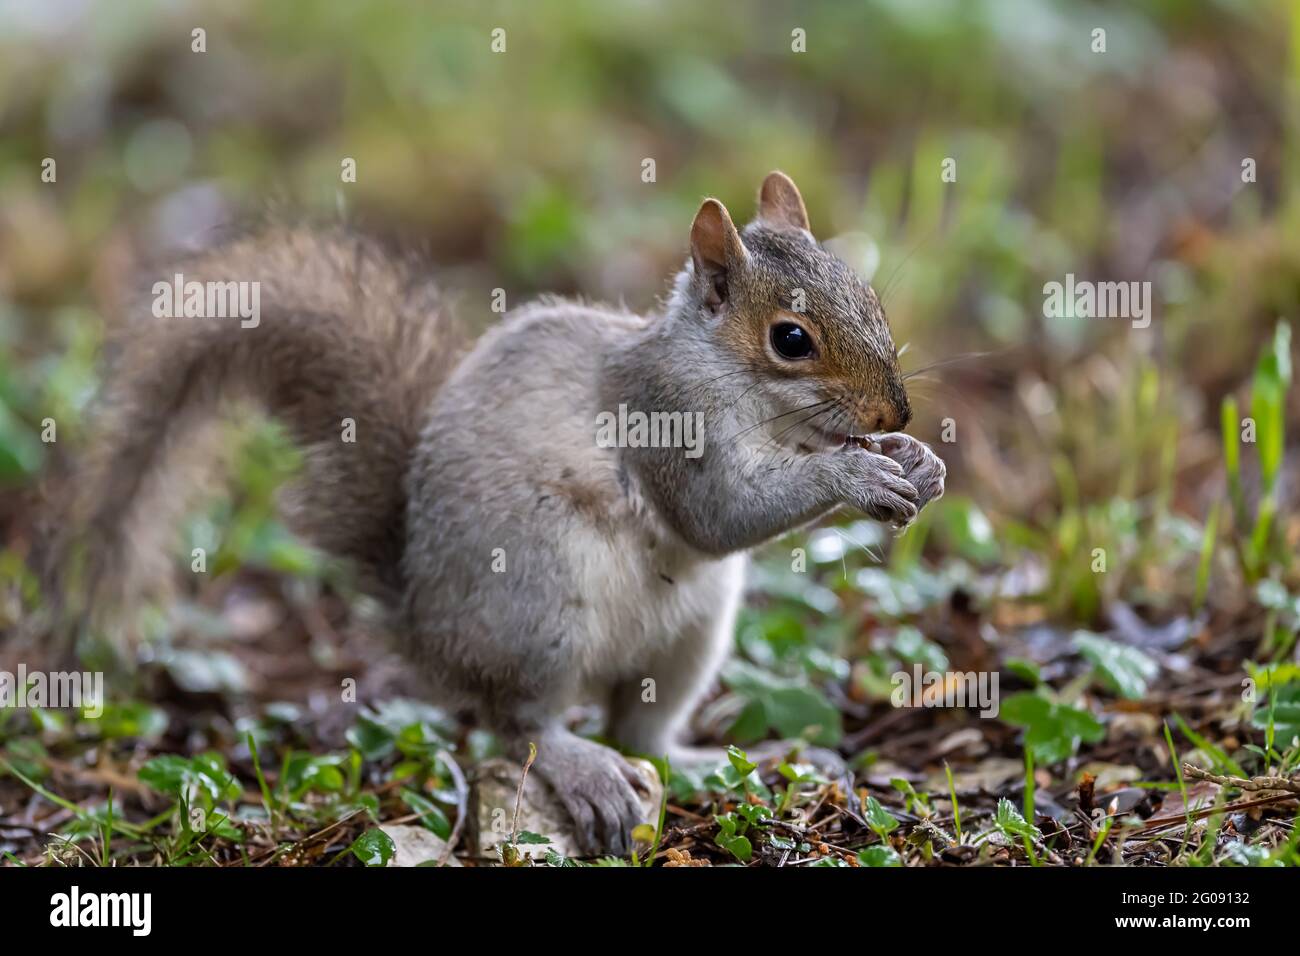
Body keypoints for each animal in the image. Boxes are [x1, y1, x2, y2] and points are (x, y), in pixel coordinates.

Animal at [57, 171, 945, 855]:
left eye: (869, 298)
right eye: (791, 339)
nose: (892, 411)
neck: (728, 375)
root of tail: (426, 630)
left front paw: (918, 463)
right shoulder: (664, 415)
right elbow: (718, 514)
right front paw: (855, 472)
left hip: (692, 634)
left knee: (641, 730)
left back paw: (694, 762)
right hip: (536, 602)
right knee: (518, 725)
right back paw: (582, 768)